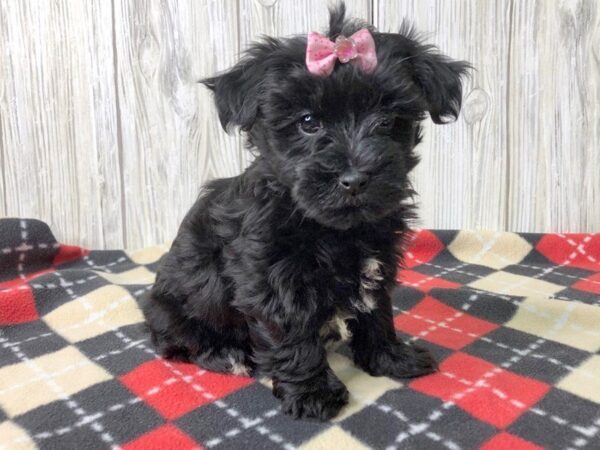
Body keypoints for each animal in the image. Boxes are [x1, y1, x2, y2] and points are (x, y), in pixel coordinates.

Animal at [143, 3, 472, 420]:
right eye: (308, 122)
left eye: (386, 121)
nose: (354, 179)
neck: (332, 228)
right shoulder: (273, 277)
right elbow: (292, 334)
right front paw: (313, 392)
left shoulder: (377, 263)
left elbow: (378, 312)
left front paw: (390, 358)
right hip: (172, 308)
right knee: (178, 340)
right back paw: (226, 355)